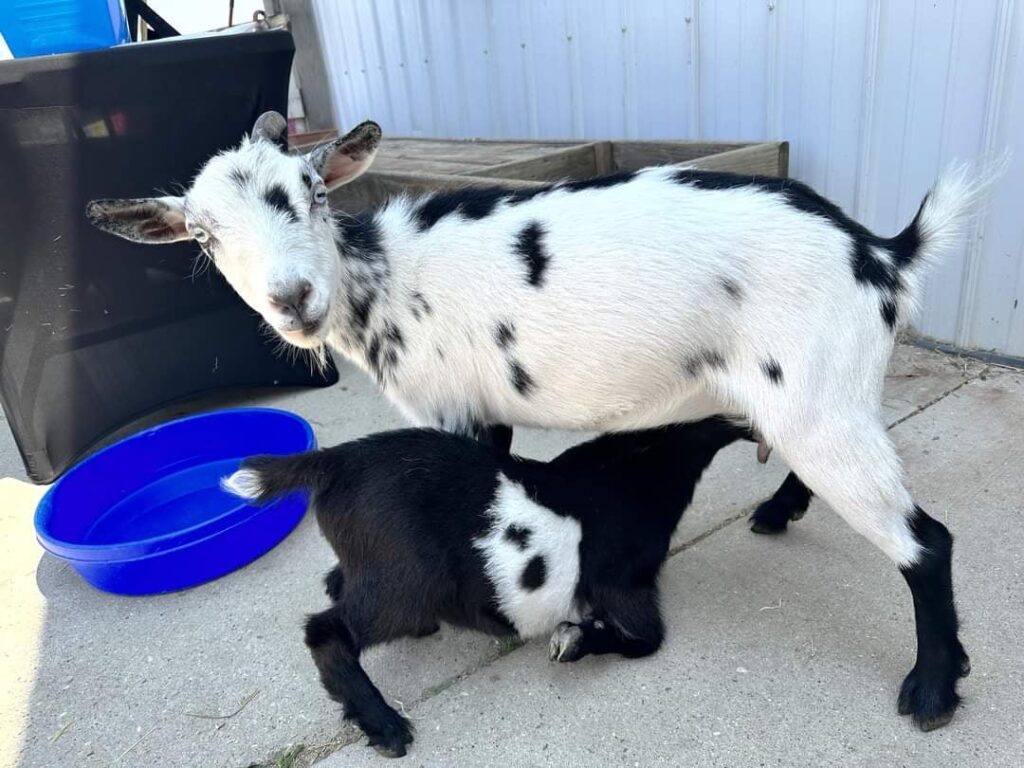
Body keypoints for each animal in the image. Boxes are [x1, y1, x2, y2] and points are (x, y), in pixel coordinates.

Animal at [88, 112, 999, 733]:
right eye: (203, 237)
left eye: (310, 194)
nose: (293, 302)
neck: (384, 281)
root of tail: (882, 252)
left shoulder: (456, 410)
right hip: (819, 396)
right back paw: (786, 518)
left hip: (817, 398)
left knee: (925, 542)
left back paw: (931, 689)